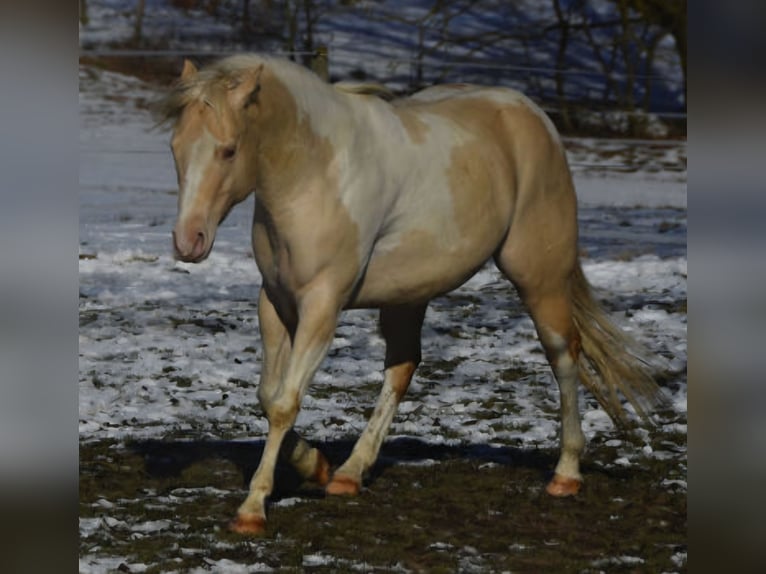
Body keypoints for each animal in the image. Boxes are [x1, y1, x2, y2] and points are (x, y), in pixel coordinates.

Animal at [158, 54, 662, 535]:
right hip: (408, 296)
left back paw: (566, 474)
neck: (316, 173)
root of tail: (535, 117)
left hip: (540, 278)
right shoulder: (276, 303)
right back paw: (349, 474)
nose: (188, 241)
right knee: (402, 368)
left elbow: (284, 404)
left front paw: (252, 510)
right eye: (175, 147)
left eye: (228, 150)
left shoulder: (322, 306)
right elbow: (267, 395)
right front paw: (317, 467)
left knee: (564, 354)